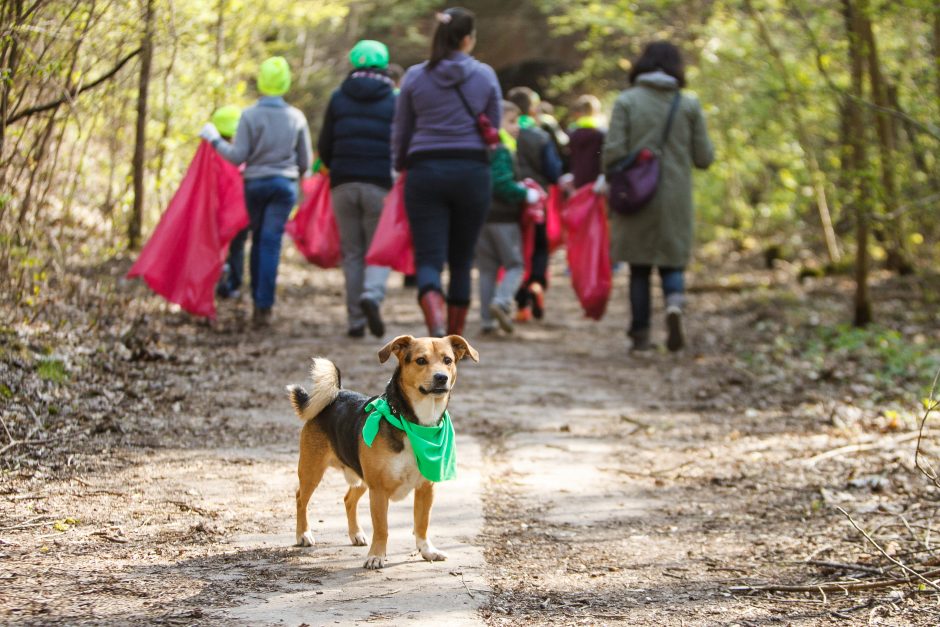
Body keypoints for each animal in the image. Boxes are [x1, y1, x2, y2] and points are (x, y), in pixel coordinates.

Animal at [284, 336, 478, 572]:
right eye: (421, 360)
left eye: (447, 360)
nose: (441, 377)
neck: (413, 424)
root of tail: (335, 395)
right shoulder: (378, 490)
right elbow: (382, 527)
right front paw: (376, 556)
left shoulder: (425, 488)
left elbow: (422, 523)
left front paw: (427, 550)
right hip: (312, 471)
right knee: (300, 498)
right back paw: (303, 534)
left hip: (360, 477)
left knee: (348, 499)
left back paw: (356, 534)